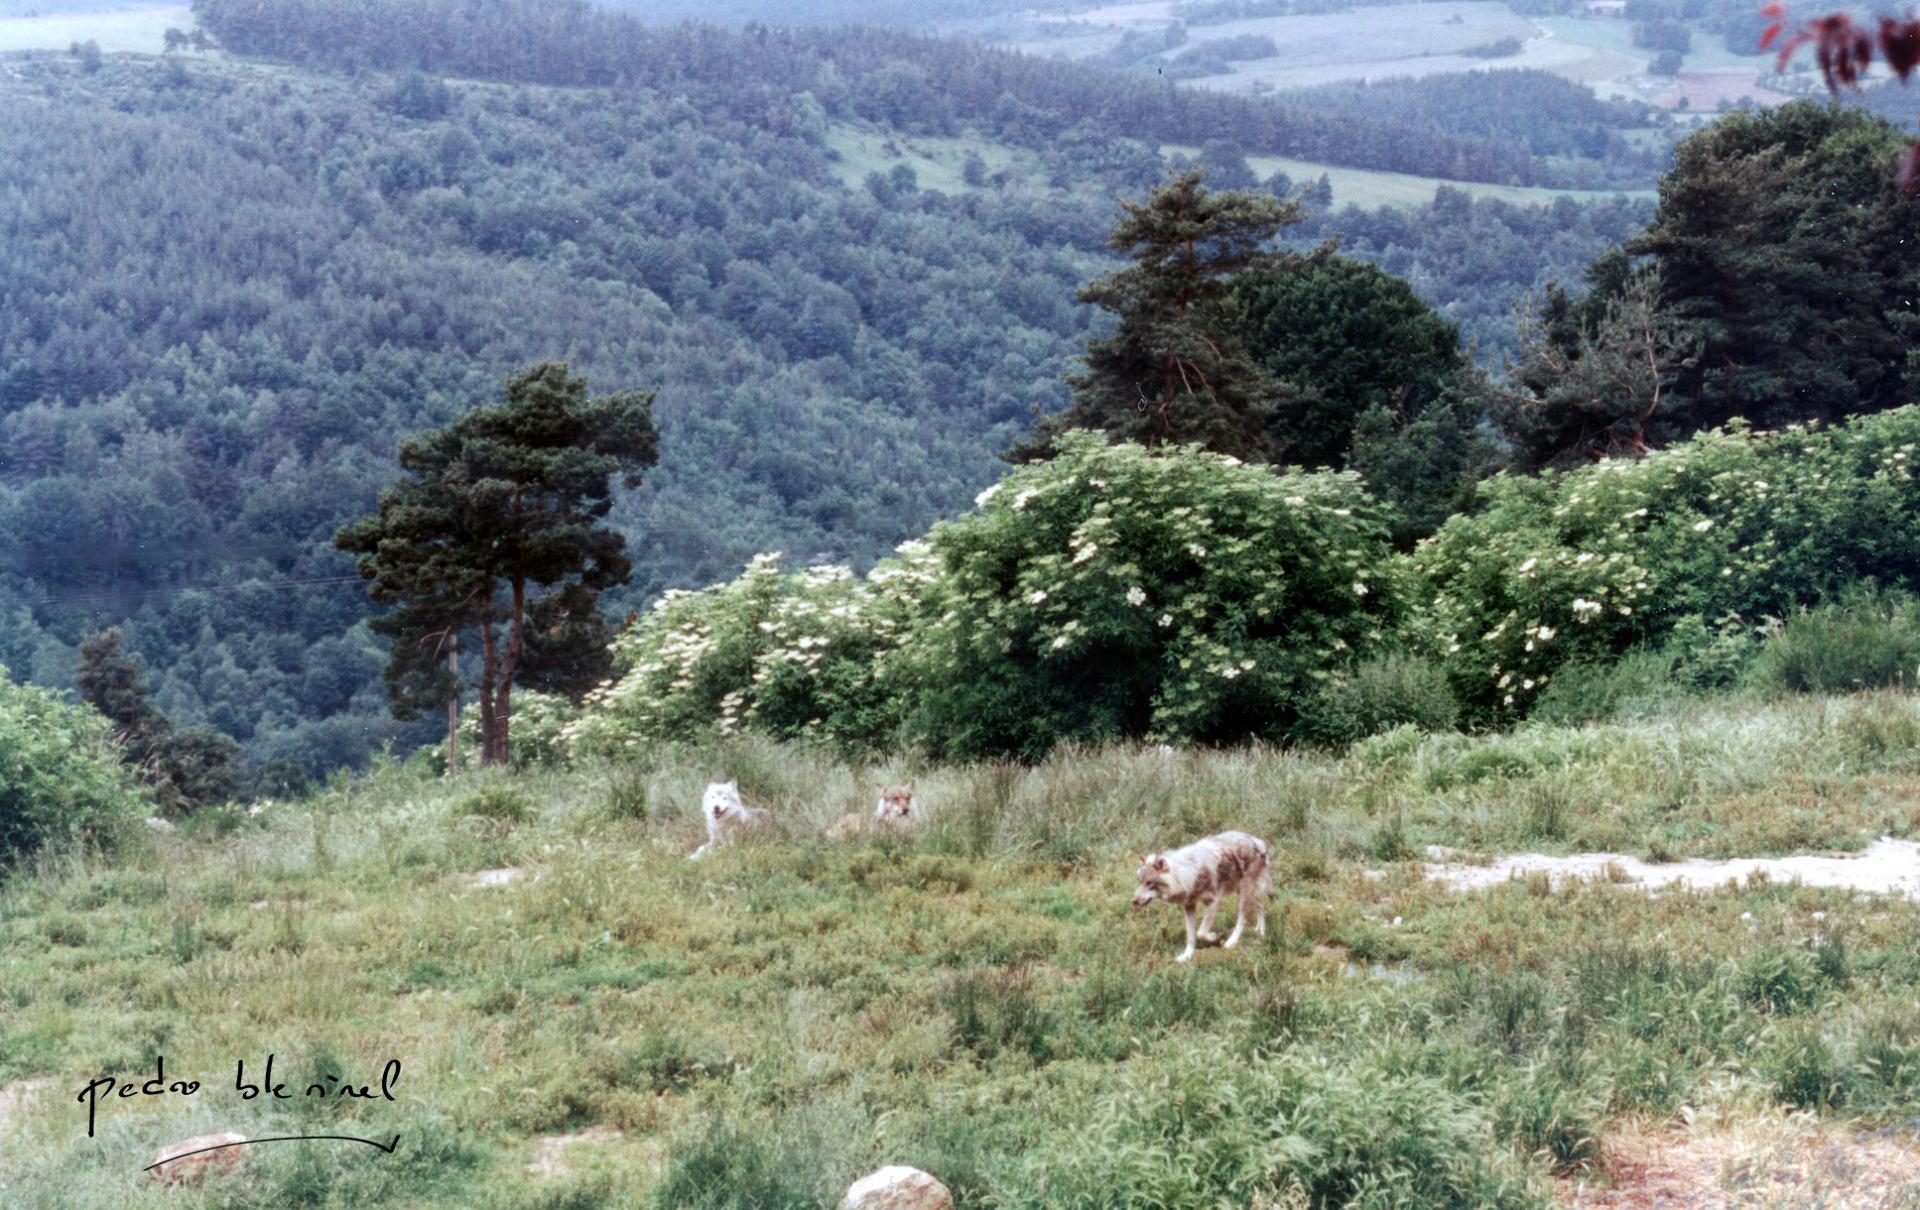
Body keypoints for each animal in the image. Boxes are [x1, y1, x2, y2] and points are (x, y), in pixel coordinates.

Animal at [1121, 829, 1274, 964]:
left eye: (1149, 883)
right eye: (1139, 882)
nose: (1133, 901)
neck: (1186, 874)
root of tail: (1258, 841)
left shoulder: (1213, 902)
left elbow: (1201, 932)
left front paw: (1213, 937)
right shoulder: (1189, 906)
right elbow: (1190, 936)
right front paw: (1187, 956)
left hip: (1243, 894)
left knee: (1243, 919)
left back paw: (1231, 942)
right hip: (1242, 892)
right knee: (1261, 905)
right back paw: (1261, 932)